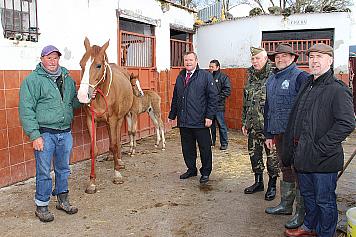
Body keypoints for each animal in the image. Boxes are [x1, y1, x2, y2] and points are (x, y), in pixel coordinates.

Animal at [77, 36, 134, 193]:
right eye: (81, 64)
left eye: (98, 65)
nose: (83, 95)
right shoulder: (91, 120)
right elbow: (93, 149)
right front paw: (92, 183)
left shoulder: (114, 119)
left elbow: (114, 144)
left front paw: (117, 175)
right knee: (111, 136)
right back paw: (110, 156)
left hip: (119, 119)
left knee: (117, 139)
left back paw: (119, 161)